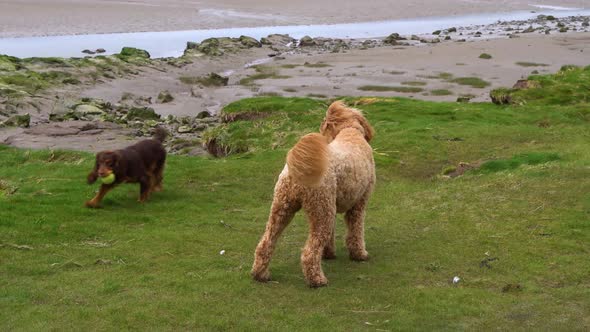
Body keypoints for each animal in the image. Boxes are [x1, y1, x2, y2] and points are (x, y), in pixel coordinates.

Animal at [252, 100, 376, 286]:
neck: (349, 133)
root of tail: (297, 172)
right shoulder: (358, 204)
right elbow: (356, 231)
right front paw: (359, 254)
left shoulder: (334, 203)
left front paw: (328, 254)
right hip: (321, 210)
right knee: (309, 251)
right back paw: (317, 279)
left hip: (282, 208)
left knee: (266, 243)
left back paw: (261, 274)